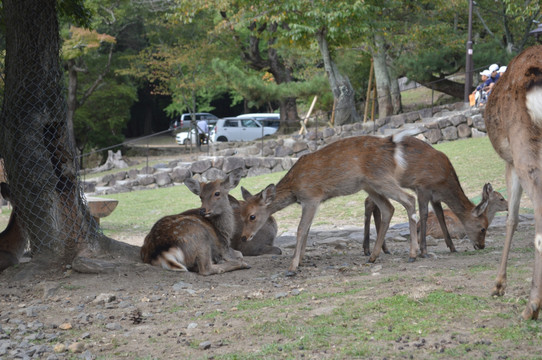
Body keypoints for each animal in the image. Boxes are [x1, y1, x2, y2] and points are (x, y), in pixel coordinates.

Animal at [240, 134, 422, 274]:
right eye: (241, 215)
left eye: (252, 216)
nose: (243, 237)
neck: (294, 187)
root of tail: (393, 147)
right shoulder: (312, 202)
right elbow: (307, 230)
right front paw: (302, 261)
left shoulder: (311, 197)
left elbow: (301, 229)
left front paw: (292, 267)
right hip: (370, 185)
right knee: (388, 208)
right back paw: (373, 256)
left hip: (381, 178)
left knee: (409, 199)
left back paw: (413, 254)